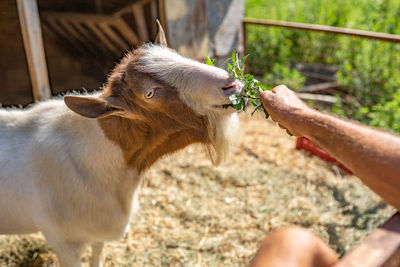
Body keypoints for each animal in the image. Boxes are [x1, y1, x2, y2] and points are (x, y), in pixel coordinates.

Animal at [0, 22, 241, 266]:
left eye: (175, 54)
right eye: (149, 93)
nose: (230, 84)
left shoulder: (98, 232)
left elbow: (97, 255)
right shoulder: (64, 243)